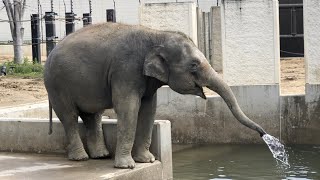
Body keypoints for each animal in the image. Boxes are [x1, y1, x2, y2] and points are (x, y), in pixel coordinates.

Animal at [43, 22, 266, 169]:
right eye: (193, 65)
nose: (264, 134)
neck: (157, 34)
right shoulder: (125, 69)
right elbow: (128, 108)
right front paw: (128, 166)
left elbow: (149, 108)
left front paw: (147, 160)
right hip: (57, 85)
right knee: (70, 116)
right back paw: (81, 159)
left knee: (93, 116)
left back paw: (100, 156)